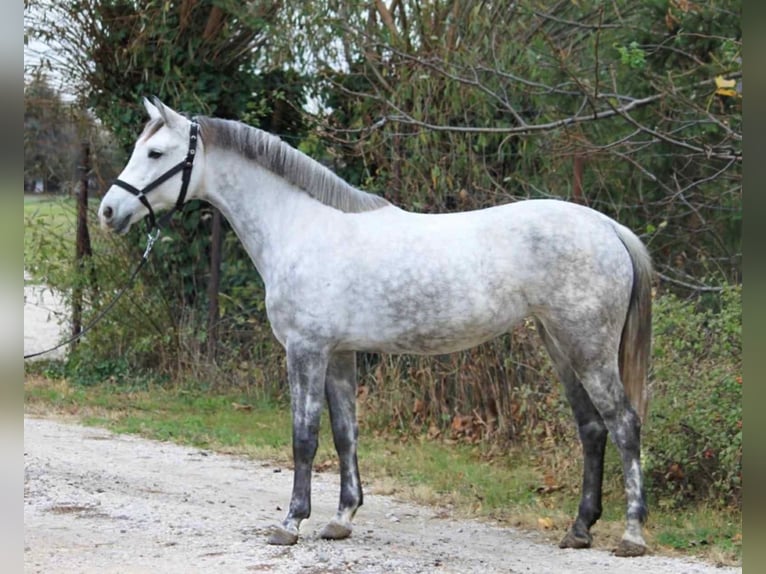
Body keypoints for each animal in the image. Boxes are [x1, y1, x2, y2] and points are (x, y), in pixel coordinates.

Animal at [98, 98, 652, 557]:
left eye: (156, 152)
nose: (108, 211)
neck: (299, 227)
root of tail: (608, 228)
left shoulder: (306, 350)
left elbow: (304, 437)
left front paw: (290, 523)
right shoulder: (340, 354)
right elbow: (345, 433)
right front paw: (341, 519)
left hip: (588, 348)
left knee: (623, 424)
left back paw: (631, 535)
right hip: (560, 344)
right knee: (591, 428)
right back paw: (579, 529)